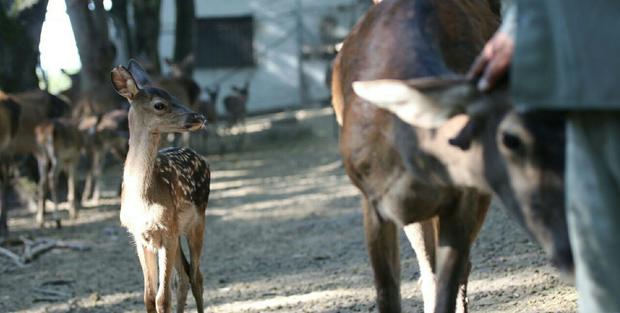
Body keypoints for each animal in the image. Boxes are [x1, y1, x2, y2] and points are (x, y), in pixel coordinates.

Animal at [110, 60, 209, 312]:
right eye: (159, 105)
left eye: (174, 94)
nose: (200, 116)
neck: (144, 199)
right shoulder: (139, 235)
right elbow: (148, 295)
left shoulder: (167, 230)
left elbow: (162, 298)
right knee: (183, 276)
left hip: (196, 220)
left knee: (196, 276)